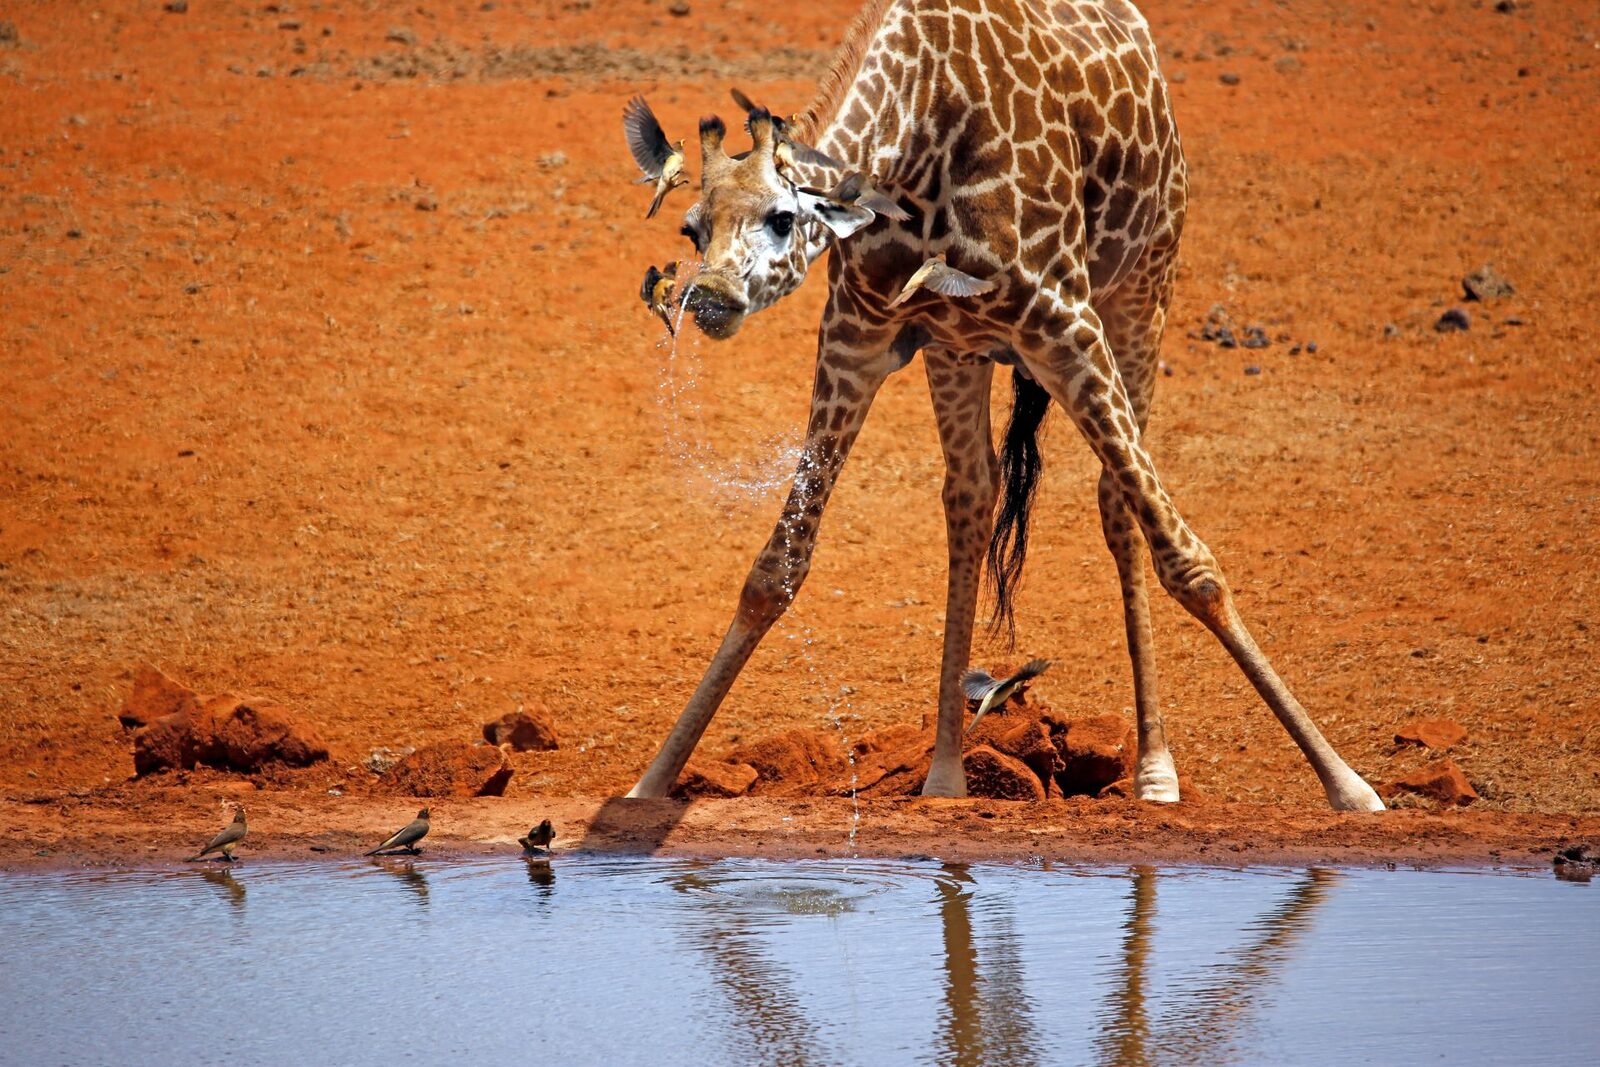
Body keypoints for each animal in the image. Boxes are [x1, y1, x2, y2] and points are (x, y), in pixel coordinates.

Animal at [621, 0, 1385, 812]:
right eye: (691, 229)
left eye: (781, 219)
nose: (709, 299)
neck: (918, 145)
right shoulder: (858, 336)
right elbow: (775, 569)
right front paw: (650, 782)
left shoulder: (1067, 325)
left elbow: (1191, 563)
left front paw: (1347, 784)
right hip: (959, 349)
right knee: (972, 495)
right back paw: (946, 774)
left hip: (1142, 290)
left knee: (1117, 504)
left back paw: (1154, 766)